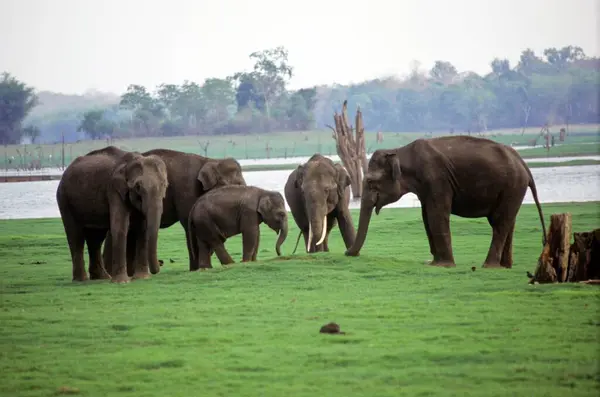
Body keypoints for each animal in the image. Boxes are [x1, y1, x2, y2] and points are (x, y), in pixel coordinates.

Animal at [56, 145, 169, 282]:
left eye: (165, 185)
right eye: (138, 187)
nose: (160, 265)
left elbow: (142, 229)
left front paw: (142, 278)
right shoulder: (114, 189)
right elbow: (119, 226)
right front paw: (122, 282)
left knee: (95, 238)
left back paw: (102, 277)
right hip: (64, 199)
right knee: (75, 236)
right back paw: (81, 280)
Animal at [344, 136, 548, 270]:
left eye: (371, 182)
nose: (347, 253)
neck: (400, 151)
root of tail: (524, 164)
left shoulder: (437, 179)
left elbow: (437, 214)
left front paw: (444, 265)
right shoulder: (426, 187)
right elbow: (426, 216)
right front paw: (433, 262)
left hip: (513, 186)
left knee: (500, 223)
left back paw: (489, 266)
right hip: (512, 190)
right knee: (508, 221)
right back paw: (505, 266)